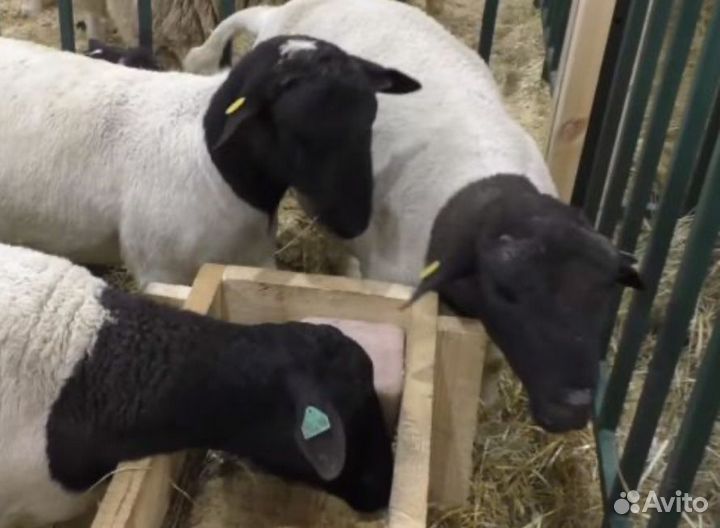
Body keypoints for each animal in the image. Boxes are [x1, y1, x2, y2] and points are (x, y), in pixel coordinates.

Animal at [0, 35, 420, 289]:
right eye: (292, 127)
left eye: (370, 118)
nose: (354, 221)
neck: (213, 162)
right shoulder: (162, 271)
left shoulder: (253, 257)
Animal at [183, 0, 645, 434]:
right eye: (507, 292)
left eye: (606, 294)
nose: (570, 409)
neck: (483, 183)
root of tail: (280, 12)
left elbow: (494, 359)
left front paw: (488, 400)